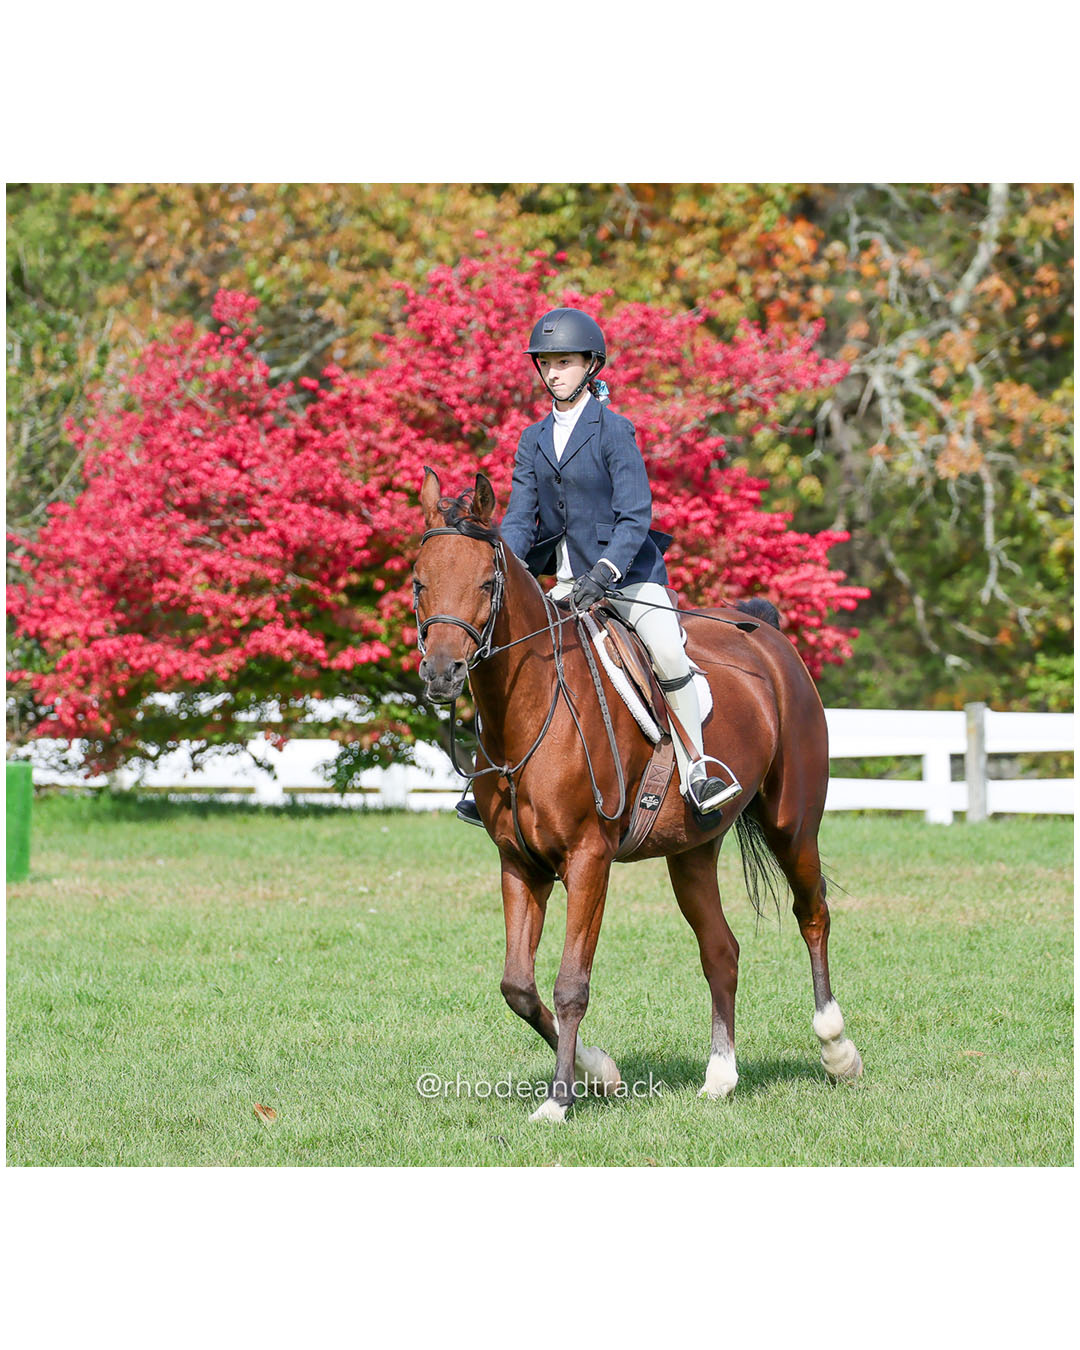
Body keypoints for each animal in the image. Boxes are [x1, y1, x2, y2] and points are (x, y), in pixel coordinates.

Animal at [413, 467, 863, 1122]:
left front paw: (559, 1100)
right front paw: (600, 1073)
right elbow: (517, 986)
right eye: (420, 583)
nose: (442, 673)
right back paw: (720, 1076)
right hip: (692, 851)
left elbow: (570, 985)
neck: (530, 707)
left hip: (794, 825)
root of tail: (766, 634)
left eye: (486, 581)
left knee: (814, 915)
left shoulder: (588, 859)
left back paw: (836, 1050)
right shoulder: (519, 863)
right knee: (720, 951)